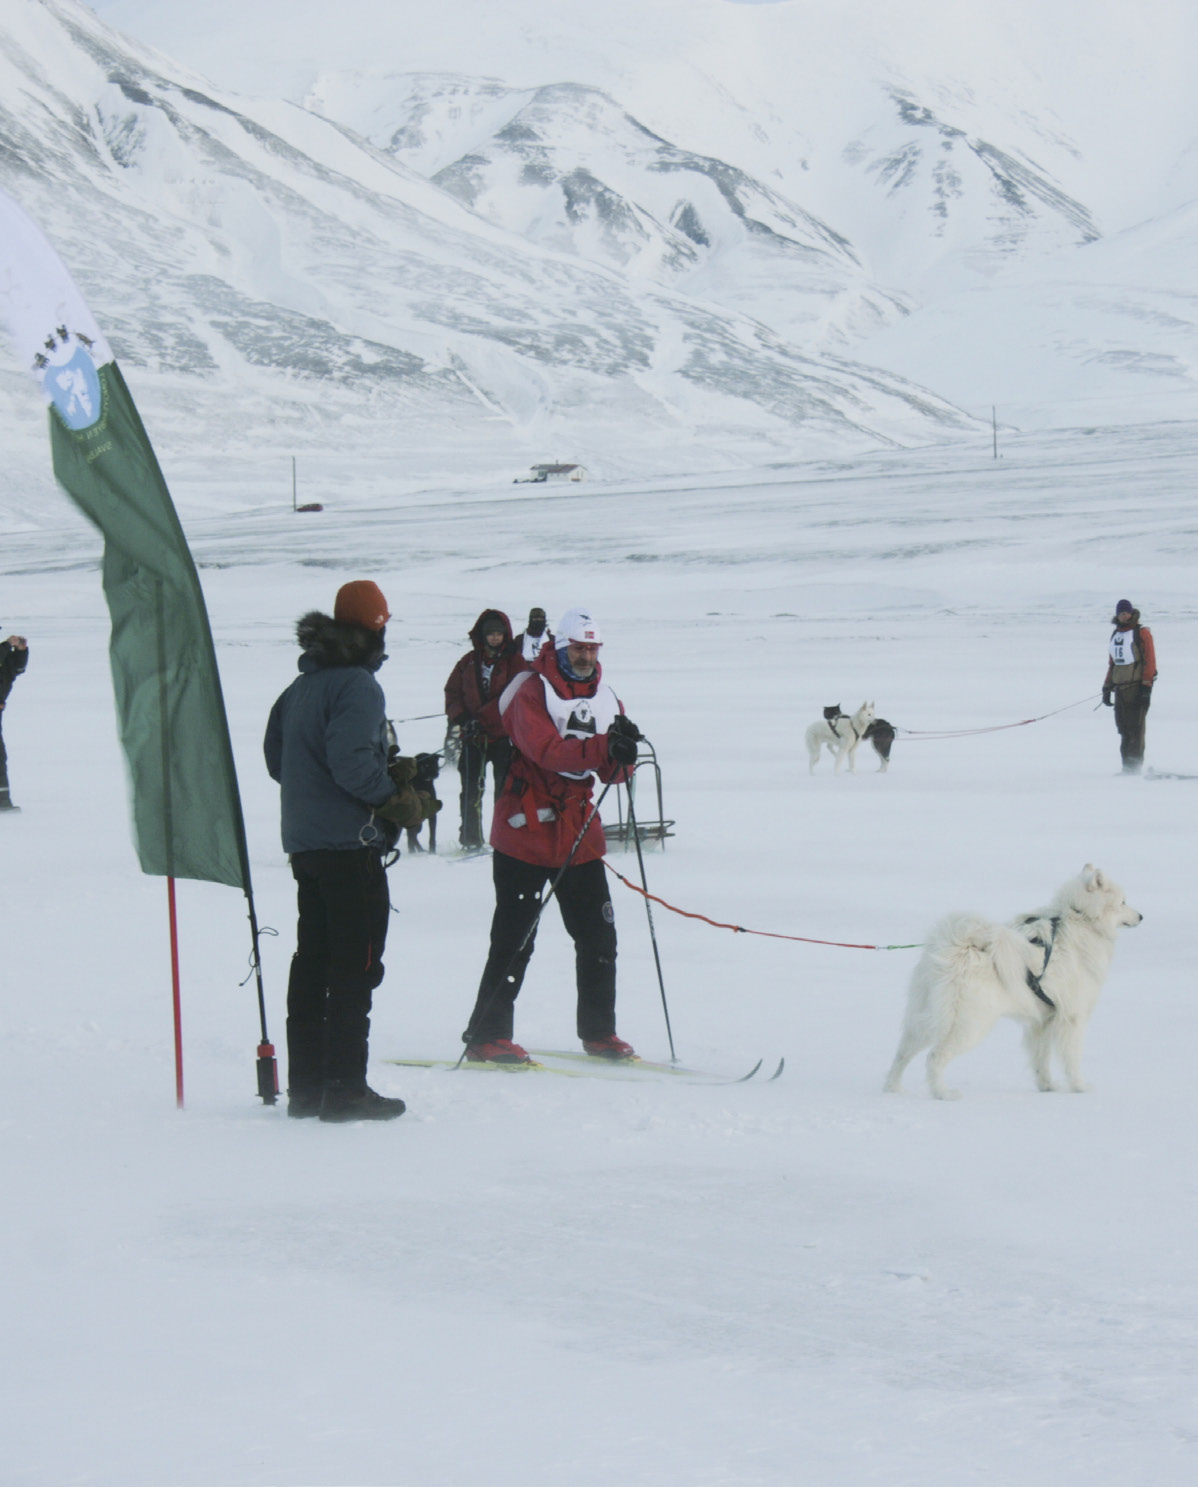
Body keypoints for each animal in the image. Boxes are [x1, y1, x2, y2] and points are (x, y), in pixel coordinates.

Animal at [885, 868, 1147, 1100]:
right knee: (934, 1057)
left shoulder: (1043, 1022)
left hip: (923, 1018)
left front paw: (1047, 1087)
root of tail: (957, 946)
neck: (1080, 917)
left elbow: (1041, 1059)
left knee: (902, 1054)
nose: (1142, 916)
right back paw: (943, 1093)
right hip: (969, 1025)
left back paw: (893, 1088)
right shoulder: (1072, 1018)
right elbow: (1071, 1058)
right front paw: (1080, 1088)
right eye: (1123, 902)